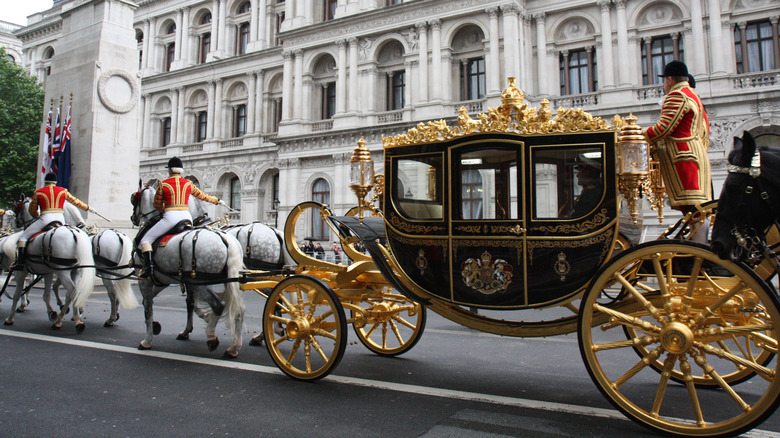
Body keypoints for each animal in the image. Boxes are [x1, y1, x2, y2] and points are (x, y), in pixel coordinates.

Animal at [131, 183, 245, 358]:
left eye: (134, 199)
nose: (133, 218)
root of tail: (225, 238)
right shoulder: (165, 278)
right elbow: (184, 302)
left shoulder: (145, 279)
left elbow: (148, 306)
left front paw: (147, 339)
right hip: (227, 281)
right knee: (238, 309)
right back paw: (234, 347)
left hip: (201, 283)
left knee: (219, 304)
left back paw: (212, 337)